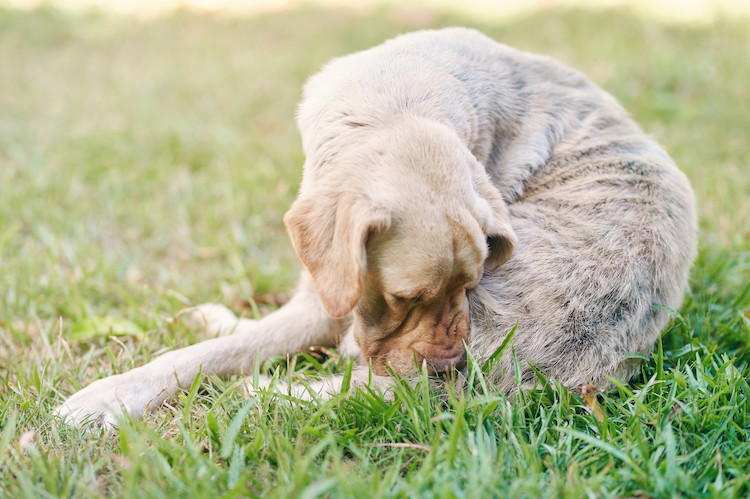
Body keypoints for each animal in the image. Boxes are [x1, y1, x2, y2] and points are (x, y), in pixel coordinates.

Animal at [57, 27, 700, 428]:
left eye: (473, 283)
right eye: (406, 296)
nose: (447, 364)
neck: (395, 105)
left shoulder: (332, 302)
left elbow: (215, 355)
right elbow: (217, 348)